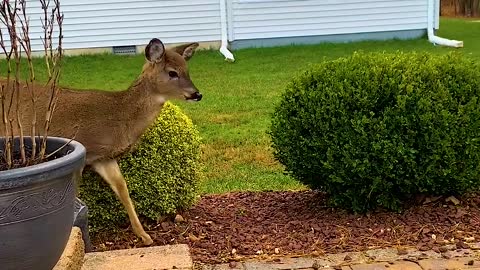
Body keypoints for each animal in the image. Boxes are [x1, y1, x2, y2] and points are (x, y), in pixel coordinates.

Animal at [0, 38, 202, 245]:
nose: (197, 94)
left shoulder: (103, 158)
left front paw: (144, 235)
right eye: (172, 72)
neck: (120, 118)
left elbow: (122, 188)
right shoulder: (83, 151)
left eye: (187, 70)